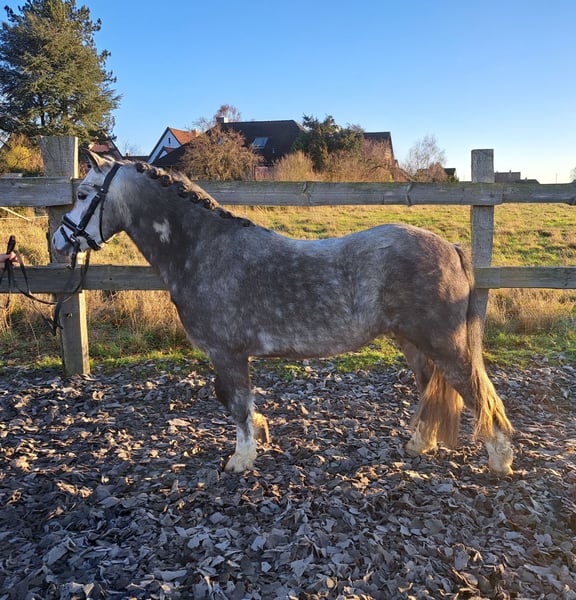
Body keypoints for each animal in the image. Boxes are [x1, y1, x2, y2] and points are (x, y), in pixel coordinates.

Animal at [52, 153, 514, 476]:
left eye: (83, 195)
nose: (58, 240)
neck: (204, 249)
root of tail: (451, 247)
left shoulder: (227, 353)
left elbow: (236, 403)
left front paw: (242, 457)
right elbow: (234, 401)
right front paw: (260, 432)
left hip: (445, 345)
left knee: (478, 393)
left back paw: (500, 461)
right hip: (413, 342)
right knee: (430, 387)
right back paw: (420, 445)